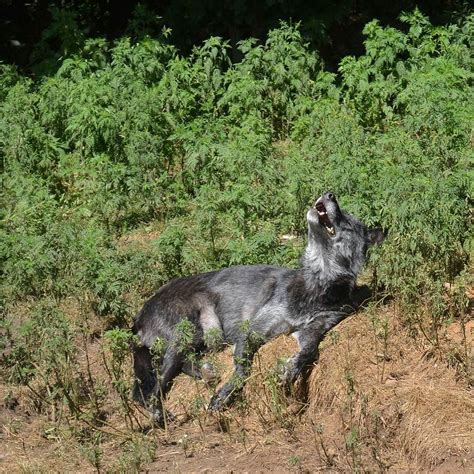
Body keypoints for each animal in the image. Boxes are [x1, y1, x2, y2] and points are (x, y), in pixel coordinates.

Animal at [131, 193, 384, 422]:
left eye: (347, 222)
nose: (329, 194)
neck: (317, 285)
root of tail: (139, 317)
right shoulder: (250, 333)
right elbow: (242, 369)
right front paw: (224, 396)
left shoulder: (311, 332)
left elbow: (309, 350)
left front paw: (289, 370)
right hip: (187, 331)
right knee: (150, 390)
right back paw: (160, 413)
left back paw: (205, 372)